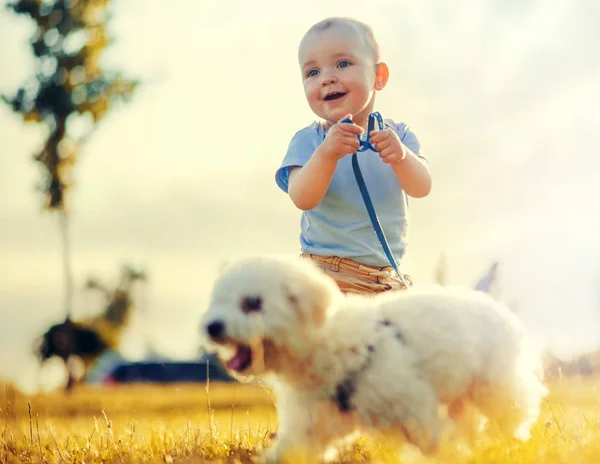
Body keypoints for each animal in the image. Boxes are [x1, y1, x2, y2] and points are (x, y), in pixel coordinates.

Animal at [202, 256, 548, 462]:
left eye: (253, 303)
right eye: (219, 301)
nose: (211, 326)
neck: (329, 339)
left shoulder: (416, 407)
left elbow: (437, 444)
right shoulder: (307, 427)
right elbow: (289, 452)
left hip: (496, 387)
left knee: (510, 419)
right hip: (461, 396)